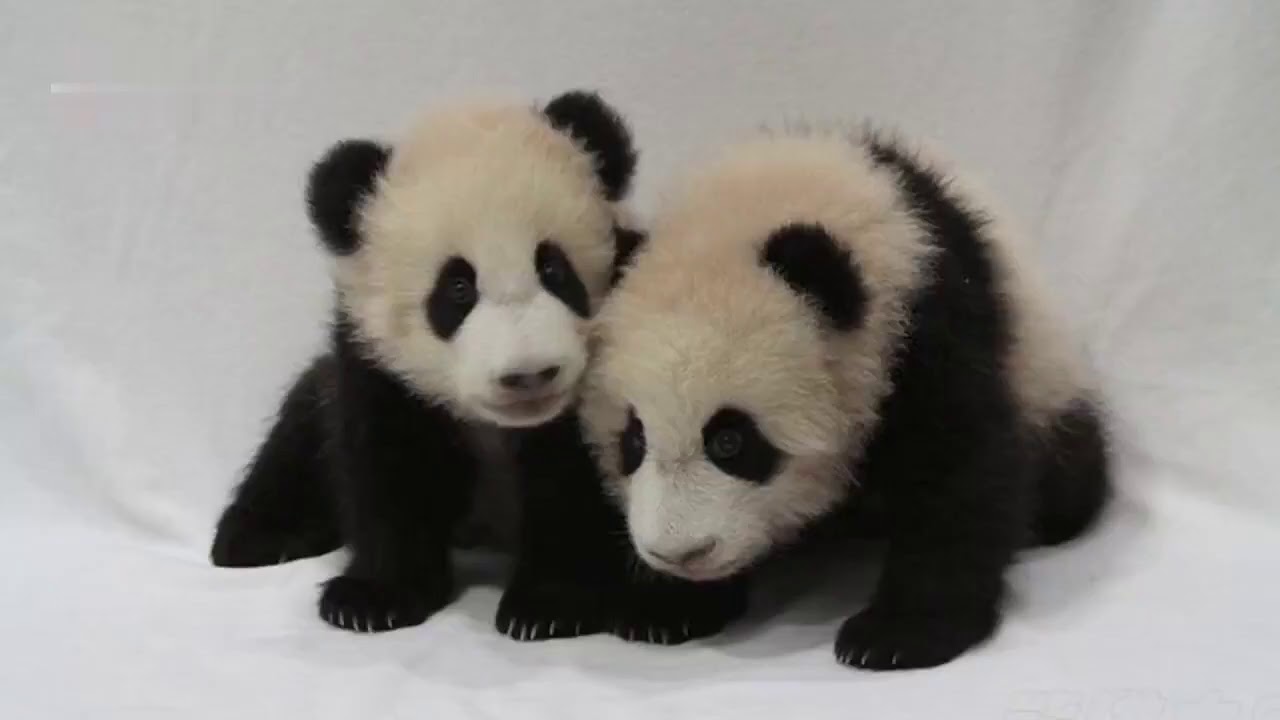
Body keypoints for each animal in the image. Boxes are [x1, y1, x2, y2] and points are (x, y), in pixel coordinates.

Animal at [211, 90, 649, 640]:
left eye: (554, 270)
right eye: (457, 289)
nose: (529, 374)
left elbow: (574, 485)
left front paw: (549, 606)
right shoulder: (377, 364)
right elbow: (388, 467)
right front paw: (372, 599)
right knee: (298, 430)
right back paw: (258, 537)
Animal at [579, 128, 1112, 669]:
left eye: (731, 441)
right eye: (633, 441)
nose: (680, 554)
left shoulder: (931, 327)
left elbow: (961, 470)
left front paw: (897, 635)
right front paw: (665, 609)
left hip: (1046, 374)